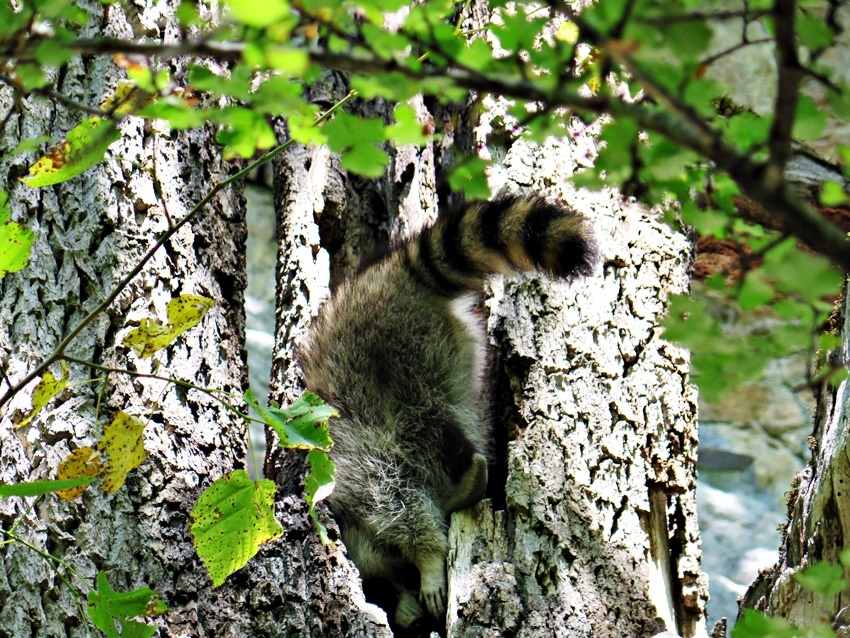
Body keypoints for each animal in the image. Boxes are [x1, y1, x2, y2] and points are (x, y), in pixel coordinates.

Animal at [302, 195, 592, 636]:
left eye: (380, 592)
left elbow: (395, 501)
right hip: (449, 349)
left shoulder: (356, 472)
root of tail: (391, 276)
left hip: (386, 357)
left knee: (415, 433)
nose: (410, 619)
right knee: (453, 415)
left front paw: (424, 557)